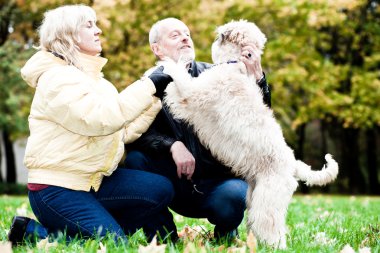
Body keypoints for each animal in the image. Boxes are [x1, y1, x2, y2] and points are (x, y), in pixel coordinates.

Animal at [160, 20, 338, 249]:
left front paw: (171, 64)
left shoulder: (192, 95)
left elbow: (178, 82)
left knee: (272, 228)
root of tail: (293, 164)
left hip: (267, 201)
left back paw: (274, 247)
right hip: (254, 198)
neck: (234, 66)